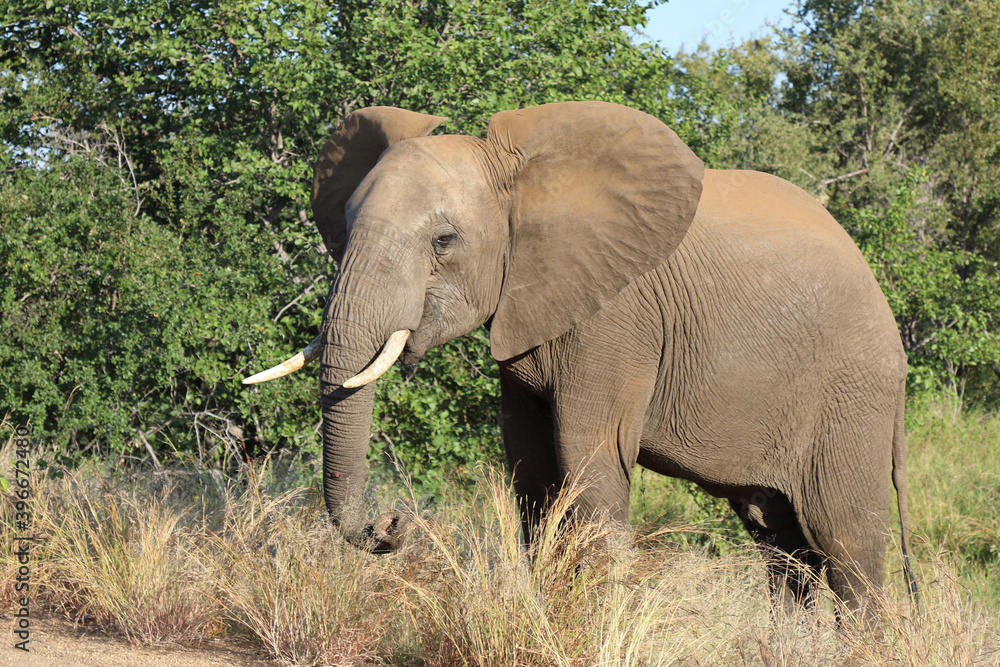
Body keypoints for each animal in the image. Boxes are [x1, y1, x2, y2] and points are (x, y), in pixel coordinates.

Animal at [244, 102, 916, 620]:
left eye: (444, 242)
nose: (391, 525)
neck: (524, 183)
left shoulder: (616, 320)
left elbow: (588, 457)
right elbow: (533, 470)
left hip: (852, 393)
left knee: (845, 543)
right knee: (780, 542)